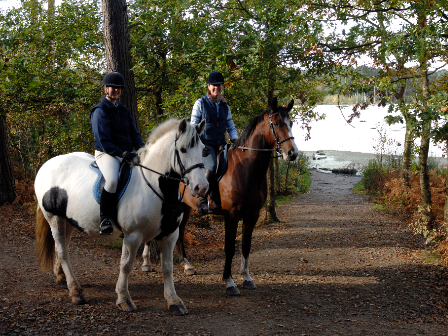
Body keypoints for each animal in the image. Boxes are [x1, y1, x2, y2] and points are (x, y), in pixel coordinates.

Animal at [34, 119, 208, 316]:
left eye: (203, 150)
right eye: (183, 149)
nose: (201, 188)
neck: (154, 184)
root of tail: (47, 164)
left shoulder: (170, 235)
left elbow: (167, 267)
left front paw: (174, 301)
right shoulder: (133, 235)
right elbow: (126, 265)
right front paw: (124, 299)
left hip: (68, 221)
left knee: (62, 246)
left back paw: (62, 279)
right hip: (54, 218)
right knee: (62, 251)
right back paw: (75, 292)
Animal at [142, 96, 300, 294]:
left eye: (291, 123)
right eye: (277, 123)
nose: (292, 153)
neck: (246, 168)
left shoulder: (252, 215)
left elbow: (246, 246)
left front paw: (247, 278)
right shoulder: (231, 215)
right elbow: (230, 247)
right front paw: (229, 282)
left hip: (184, 208)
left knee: (181, 232)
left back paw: (187, 265)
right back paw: (146, 263)